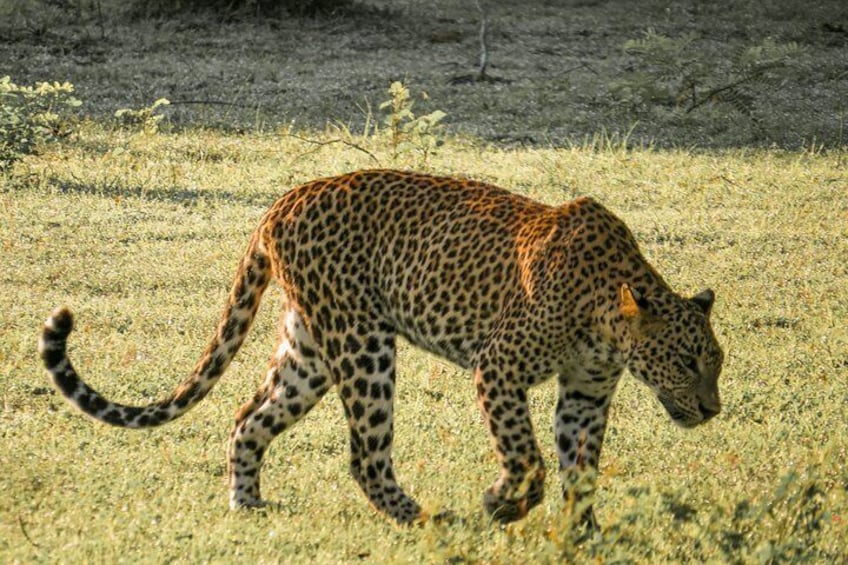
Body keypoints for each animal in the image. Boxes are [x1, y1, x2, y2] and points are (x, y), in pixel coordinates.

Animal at [39, 169, 724, 528]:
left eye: (714, 365)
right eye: (688, 362)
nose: (712, 410)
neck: (610, 320)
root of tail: (280, 202)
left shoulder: (585, 393)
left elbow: (580, 468)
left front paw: (583, 534)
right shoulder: (498, 368)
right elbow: (527, 455)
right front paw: (503, 504)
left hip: (310, 350)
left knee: (248, 416)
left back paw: (249, 503)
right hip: (363, 346)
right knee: (365, 455)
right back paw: (421, 518)